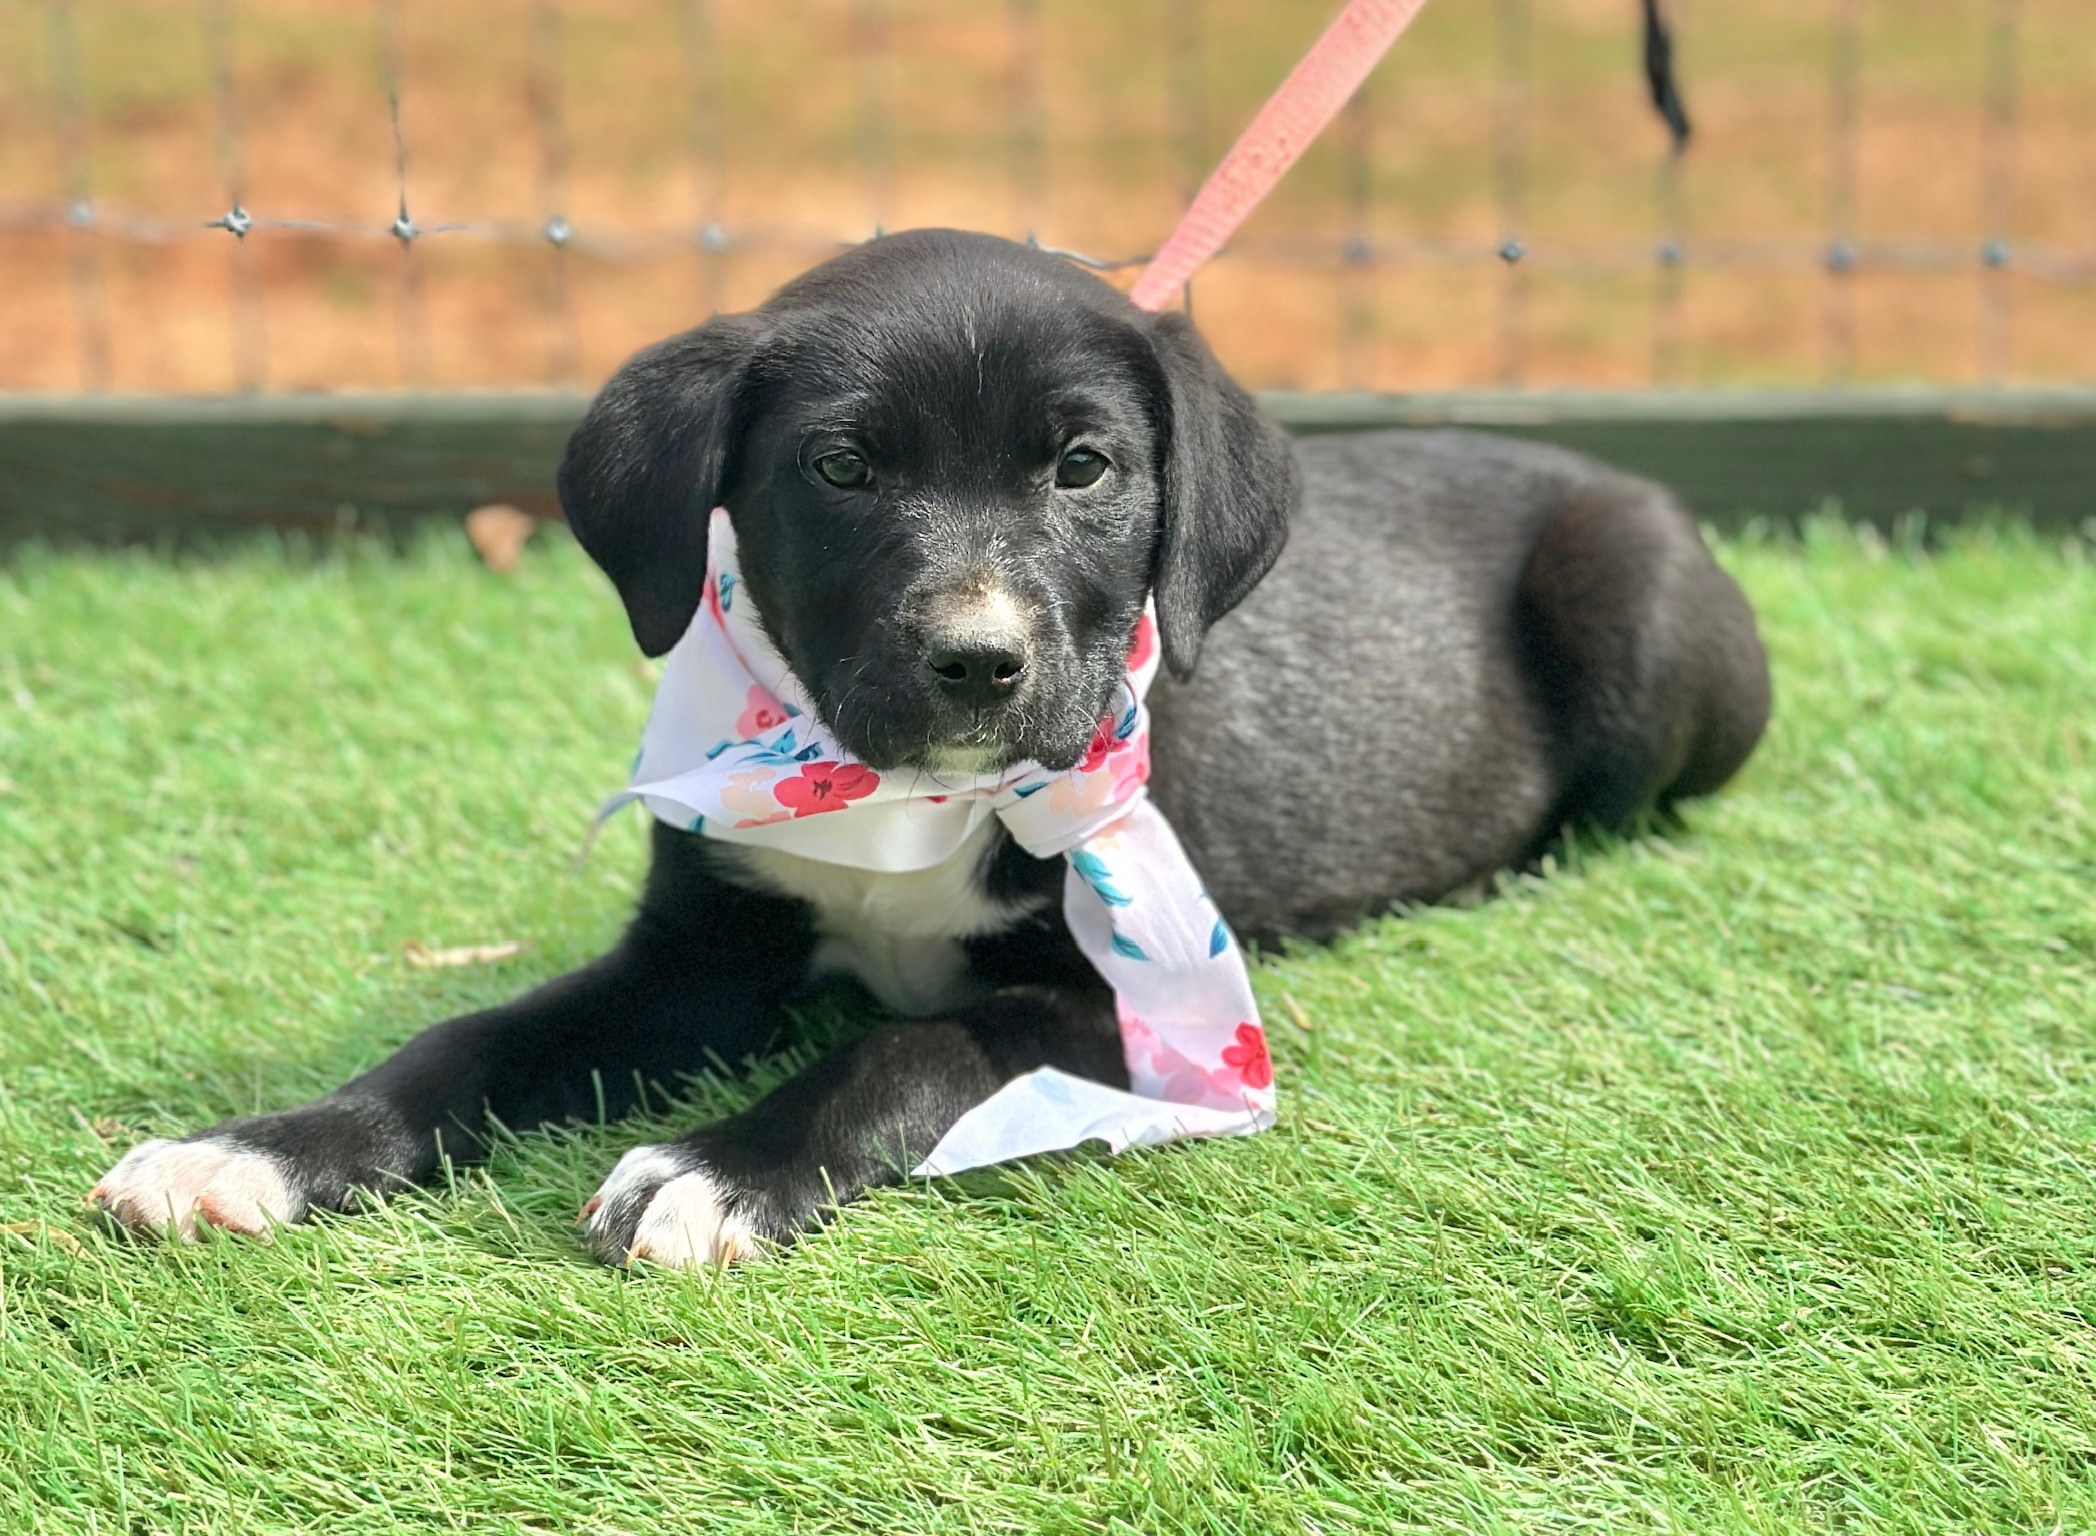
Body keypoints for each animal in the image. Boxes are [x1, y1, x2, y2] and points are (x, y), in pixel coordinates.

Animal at [92, 229, 1770, 1266]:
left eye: (1085, 467)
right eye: (840, 466)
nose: (979, 662)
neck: (900, 796)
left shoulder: (1127, 1008)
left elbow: (906, 1043)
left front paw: (717, 1169)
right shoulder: (697, 961)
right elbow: (472, 1040)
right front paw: (259, 1149)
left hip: (1630, 585)